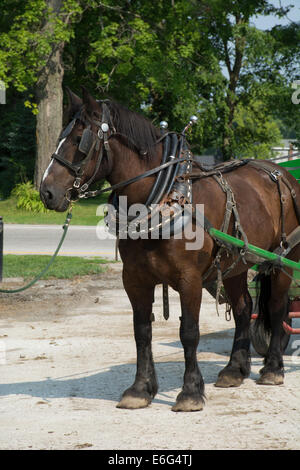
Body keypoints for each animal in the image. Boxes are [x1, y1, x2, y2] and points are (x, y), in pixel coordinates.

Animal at [40, 88, 300, 412]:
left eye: (80, 141)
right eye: (61, 136)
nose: (46, 192)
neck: (165, 198)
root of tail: (281, 173)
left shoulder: (189, 279)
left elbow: (189, 332)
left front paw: (190, 392)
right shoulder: (134, 278)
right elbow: (142, 331)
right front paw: (140, 389)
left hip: (283, 260)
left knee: (277, 308)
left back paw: (273, 369)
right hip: (235, 263)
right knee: (244, 308)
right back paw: (233, 370)